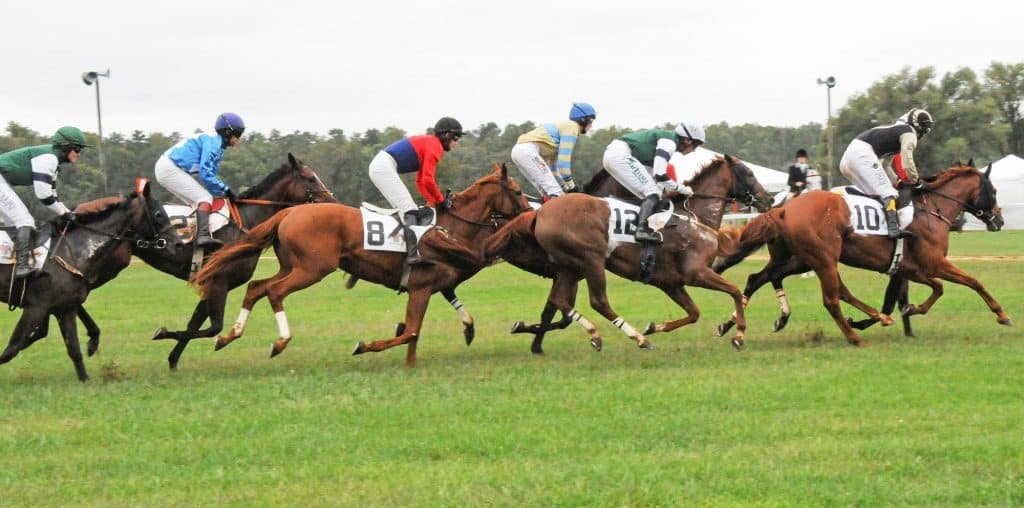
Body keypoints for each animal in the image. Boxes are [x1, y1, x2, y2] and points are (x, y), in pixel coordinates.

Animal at [0, 184, 177, 378]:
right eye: (159, 214)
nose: (178, 243)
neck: (69, 252)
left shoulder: (65, 309)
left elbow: (74, 350)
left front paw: (85, 378)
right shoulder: (36, 308)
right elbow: (12, 348)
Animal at [142, 154, 333, 368]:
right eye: (311, 178)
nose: (332, 201)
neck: (246, 221)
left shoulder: (215, 282)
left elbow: (196, 321)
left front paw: (173, 360)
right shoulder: (219, 280)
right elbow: (213, 327)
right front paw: (163, 334)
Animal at [191, 165, 528, 364]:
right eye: (517, 191)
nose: (528, 212)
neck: (451, 228)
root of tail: (288, 212)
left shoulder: (431, 286)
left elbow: (414, 332)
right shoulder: (421, 287)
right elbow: (410, 332)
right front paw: (364, 346)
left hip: (291, 266)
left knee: (256, 287)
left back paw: (228, 335)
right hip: (312, 269)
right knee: (274, 292)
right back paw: (280, 341)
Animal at [483, 154, 770, 352]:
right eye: (749, 173)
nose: (767, 199)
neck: (695, 218)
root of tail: (540, 212)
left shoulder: (670, 282)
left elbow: (694, 313)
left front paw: (654, 326)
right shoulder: (696, 273)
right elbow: (735, 291)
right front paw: (739, 335)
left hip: (570, 266)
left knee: (560, 300)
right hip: (591, 260)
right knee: (598, 301)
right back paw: (636, 339)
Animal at [712, 162, 1007, 346]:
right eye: (993, 190)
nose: (999, 220)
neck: (932, 209)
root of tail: (783, 208)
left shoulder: (909, 268)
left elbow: (911, 295)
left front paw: (907, 313)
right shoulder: (933, 263)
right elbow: (971, 282)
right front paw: (1002, 314)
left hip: (798, 259)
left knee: (759, 278)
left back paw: (734, 326)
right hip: (822, 258)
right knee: (831, 298)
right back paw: (854, 337)